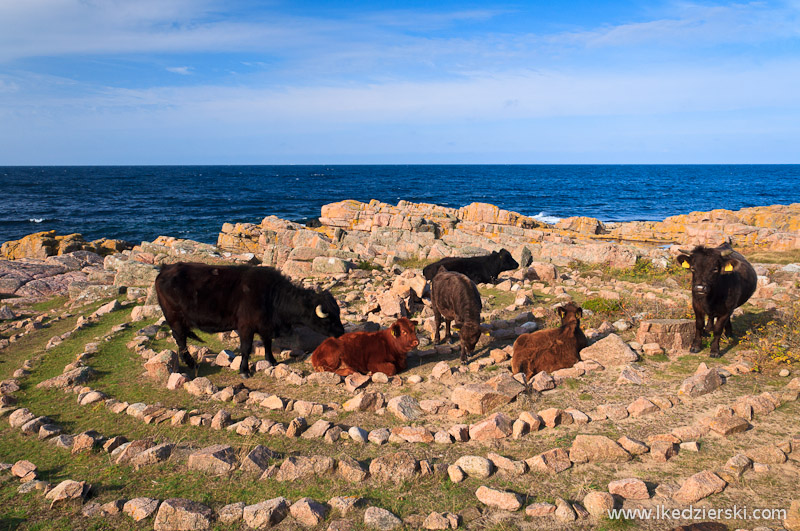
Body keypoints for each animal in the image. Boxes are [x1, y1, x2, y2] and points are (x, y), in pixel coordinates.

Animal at [155, 262, 344, 378]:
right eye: (329, 319)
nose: (342, 332)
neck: (271, 295)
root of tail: (166, 268)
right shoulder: (246, 326)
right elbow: (246, 348)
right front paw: (244, 370)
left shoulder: (266, 326)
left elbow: (267, 343)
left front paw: (272, 361)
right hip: (174, 319)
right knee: (181, 340)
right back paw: (191, 363)